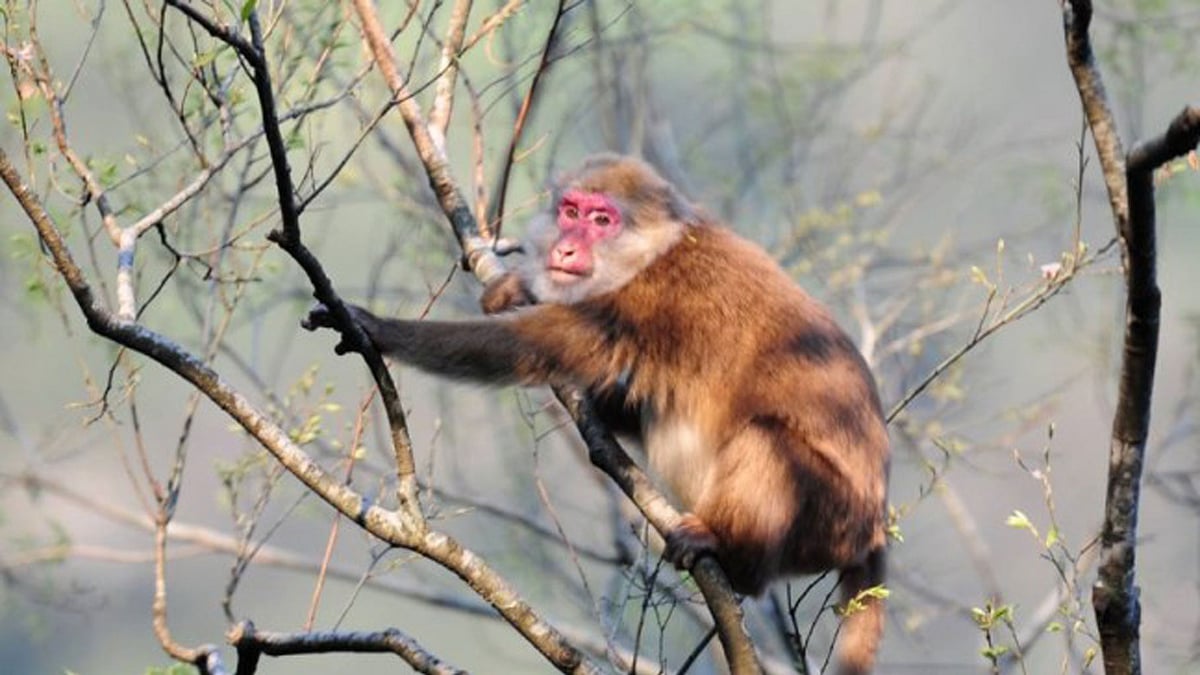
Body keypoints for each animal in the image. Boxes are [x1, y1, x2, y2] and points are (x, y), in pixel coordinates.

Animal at [303, 154, 890, 674]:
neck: (656, 251)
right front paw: (515, 288)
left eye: (601, 220)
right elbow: (629, 401)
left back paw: (730, 554)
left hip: (830, 516)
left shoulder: (648, 297)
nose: (566, 246)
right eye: (571, 210)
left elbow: (540, 346)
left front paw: (376, 326)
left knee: (767, 441)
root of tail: (874, 528)